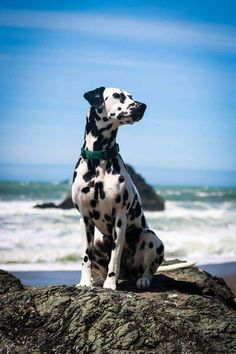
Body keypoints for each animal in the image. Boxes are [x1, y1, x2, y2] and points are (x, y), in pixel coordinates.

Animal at [71, 86, 165, 290]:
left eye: (131, 96)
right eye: (117, 95)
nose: (143, 105)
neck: (99, 159)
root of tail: (128, 273)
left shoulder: (119, 219)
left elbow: (115, 258)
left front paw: (110, 285)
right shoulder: (85, 218)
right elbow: (85, 257)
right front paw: (85, 283)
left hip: (151, 238)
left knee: (148, 269)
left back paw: (142, 280)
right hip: (99, 240)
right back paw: (101, 280)